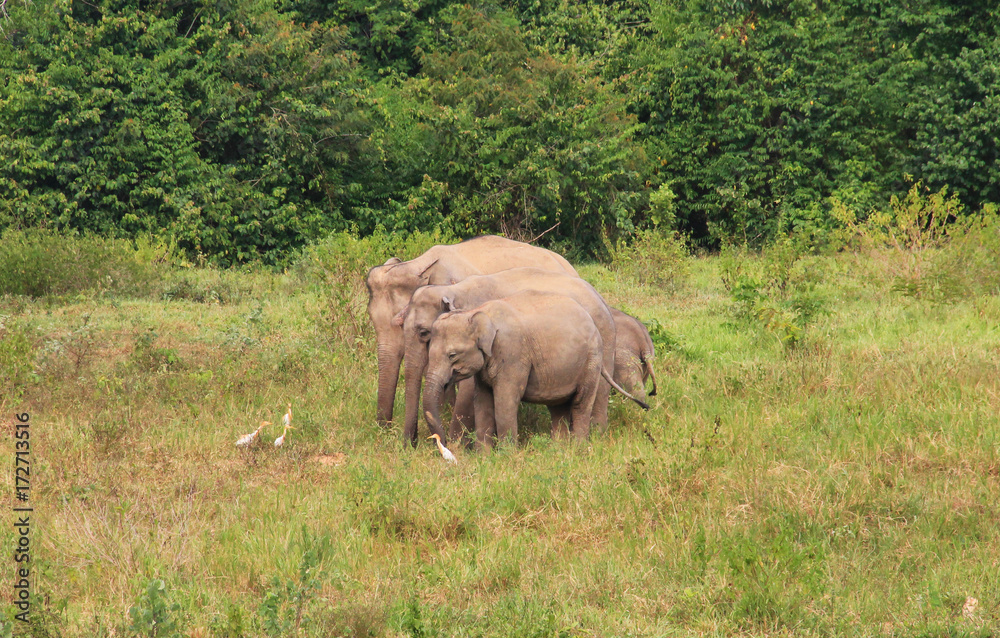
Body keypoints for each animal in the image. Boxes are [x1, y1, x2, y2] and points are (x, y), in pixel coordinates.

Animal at [395, 267, 617, 446]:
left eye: (424, 333)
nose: (411, 445)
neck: (454, 289)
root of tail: (601, 298)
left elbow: (470, 392)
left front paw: (459, 447)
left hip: (598, 348)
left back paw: (595, 437)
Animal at [422, 291, 649, 450]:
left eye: (452, 355)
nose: (444, 443)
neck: (479, 312)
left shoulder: (513, 353)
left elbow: (505, 401)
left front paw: (506, 457)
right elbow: (483, 402)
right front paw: (484, 457)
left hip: (591, 361)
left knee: (581, 403)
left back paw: (578, 450)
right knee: (558, 408)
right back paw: (558, 450)